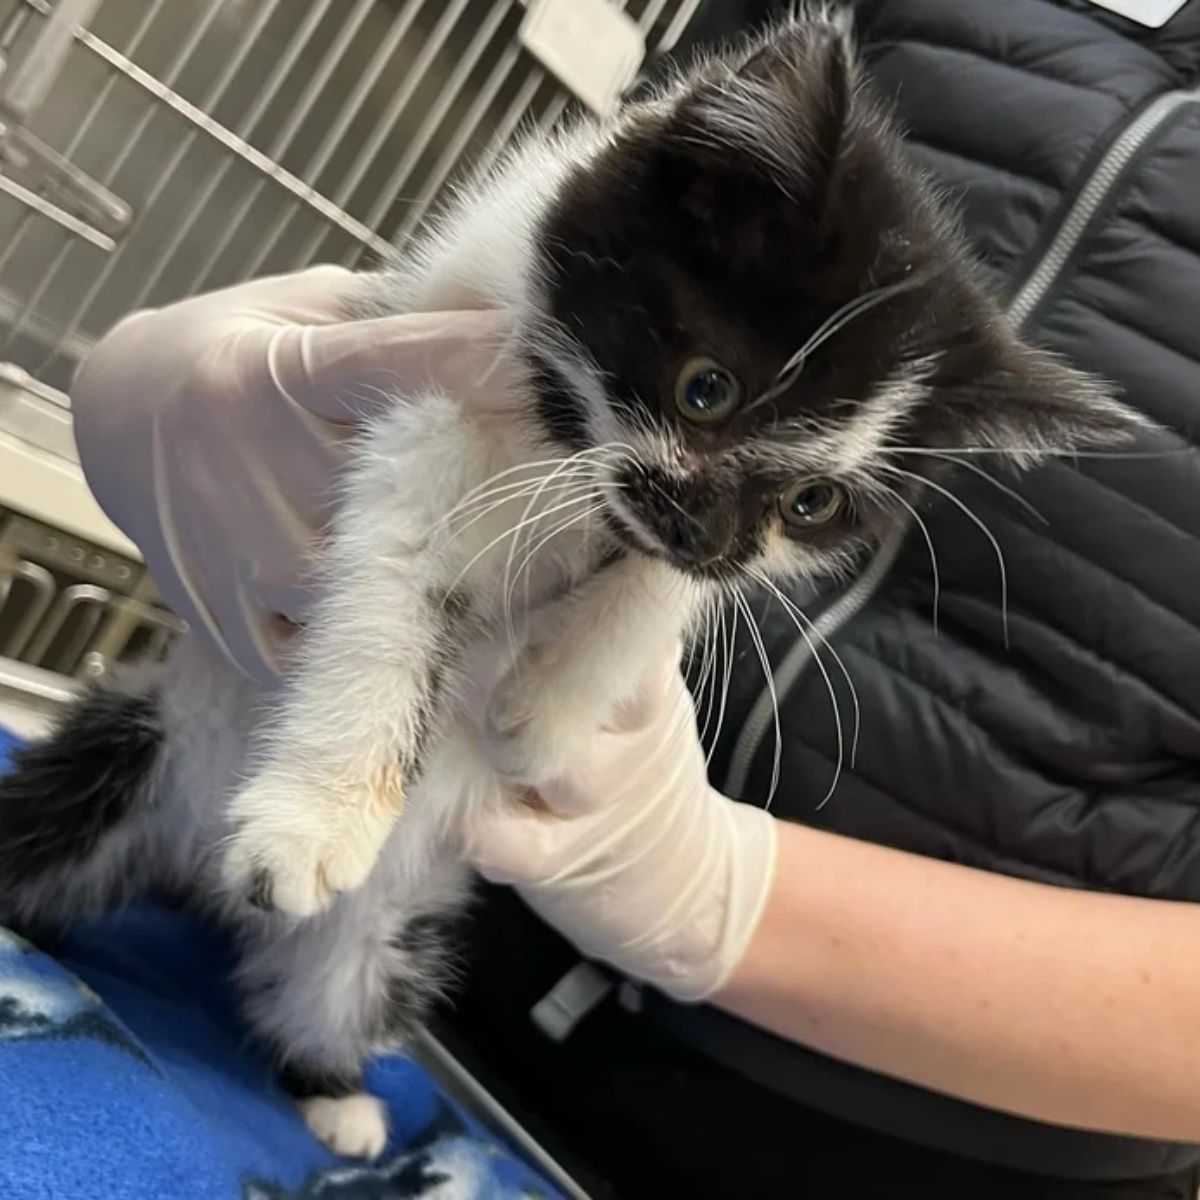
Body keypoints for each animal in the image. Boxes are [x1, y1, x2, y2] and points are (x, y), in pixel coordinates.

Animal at [0, 14, 1142, 1161]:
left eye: (815, 503)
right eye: (706, 389)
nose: (712, 537)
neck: (559, 430)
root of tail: (192, 872)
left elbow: (660, 587)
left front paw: (548, 708)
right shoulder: (419, 385)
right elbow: (392, 585)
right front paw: (314, 822)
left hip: (384, 936)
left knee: (339, 991)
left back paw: (337, 1099)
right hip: (128, 748)